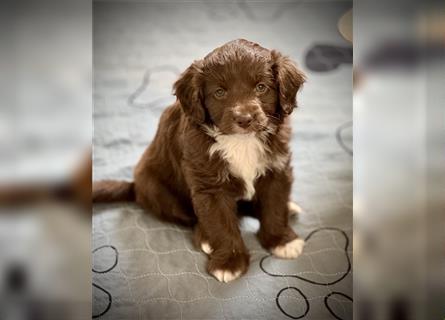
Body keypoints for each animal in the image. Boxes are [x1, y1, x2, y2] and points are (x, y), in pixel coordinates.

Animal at [93, 38, 306, 282]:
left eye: (261, 87)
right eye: (220, 92)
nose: (244, 119)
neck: (241, 142)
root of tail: (134, 186)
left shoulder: (276, 170)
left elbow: (274, 207)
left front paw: (281, 241)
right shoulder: (210, 187)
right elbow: (220, 223)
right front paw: (229, 262)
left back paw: (289, 208)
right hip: (158, 191)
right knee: (193, 218)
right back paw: (205, 238)